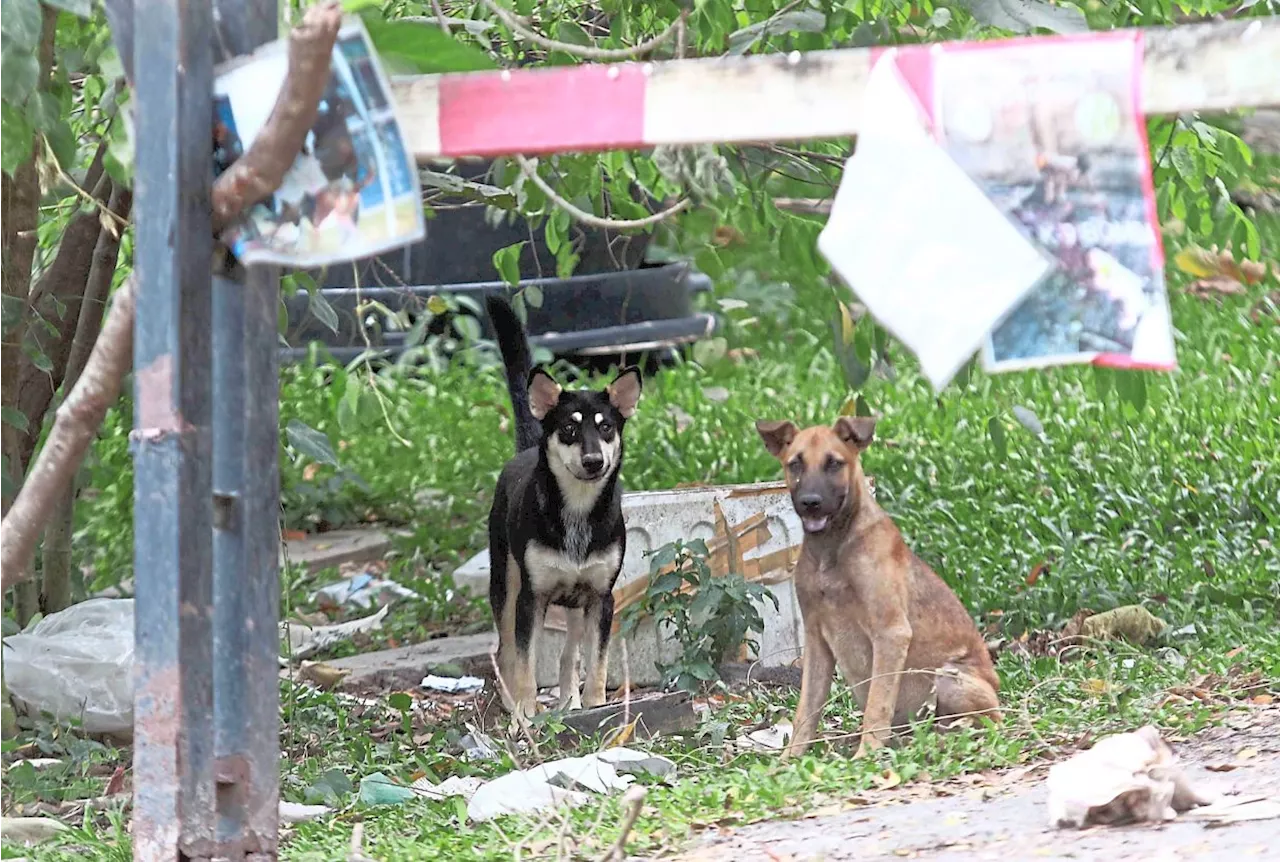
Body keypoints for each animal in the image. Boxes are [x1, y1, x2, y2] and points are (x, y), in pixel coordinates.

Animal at [481, 295, 640, 717]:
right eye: (569, 428)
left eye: (606, 427)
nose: (593, 461)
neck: (578, 512)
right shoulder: (531, 599)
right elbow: (525, 661)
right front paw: (525, 711)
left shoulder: (601, 598)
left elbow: (596, 661)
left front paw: (596, 703)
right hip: (505, 584)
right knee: (504, 651)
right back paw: (510, 702)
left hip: (573, 604)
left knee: (570, 655)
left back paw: (570, 700)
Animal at [752, 412, 1003, 758]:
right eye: (795, 464)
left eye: (834, 463)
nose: (810, 503)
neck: (832, 549)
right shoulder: (816, 639)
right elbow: (806, 709)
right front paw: (790, 759)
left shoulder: (891, 632)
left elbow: (878, 703)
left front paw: (866, 753)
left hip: (949, 678)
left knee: (986, 722)